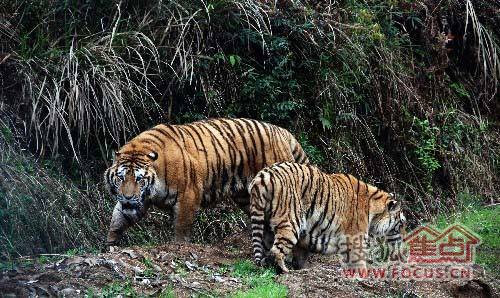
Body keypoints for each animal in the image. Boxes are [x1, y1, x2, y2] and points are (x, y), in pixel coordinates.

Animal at [104, 117, 308, 246]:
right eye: (121, 178)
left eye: (139, 179)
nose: (128, 197)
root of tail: (282, 131)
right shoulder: (138, 201)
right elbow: (117, 220)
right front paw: (109, 245)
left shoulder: (188, 196)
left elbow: (181, 228)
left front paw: (179, 247)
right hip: (247, 197)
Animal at [250, 162, 406, 274]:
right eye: (402, 224)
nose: (404, 241)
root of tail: (262, 176)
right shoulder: (356, 238)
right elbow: (359, 261)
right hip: (291, 223)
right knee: (276, 250)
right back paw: (284, 271)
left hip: (265, 224)